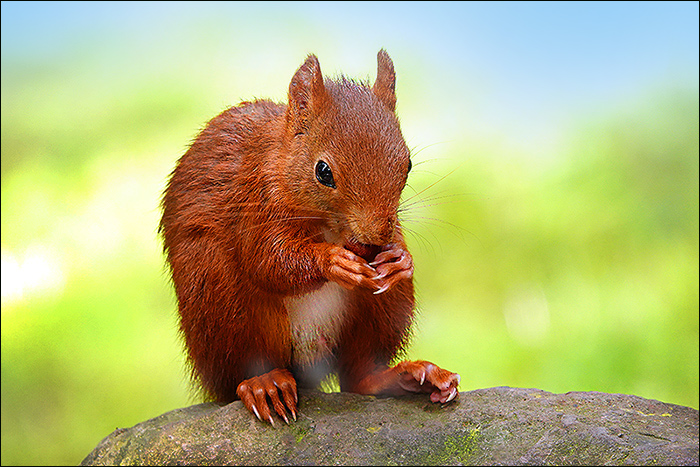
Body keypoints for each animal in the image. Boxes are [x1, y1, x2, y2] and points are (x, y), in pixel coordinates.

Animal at [160, 49, 460, 424]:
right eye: (323, 172)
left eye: (407, 165)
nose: (373, 239)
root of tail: (308, 369)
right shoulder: (254, 201)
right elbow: (267, 261)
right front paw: (333, 262)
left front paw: (400, 259)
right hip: (219, 299)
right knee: (240, 372)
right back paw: (264, 384)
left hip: (383, 310)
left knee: (358, 375)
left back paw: (408, 375)